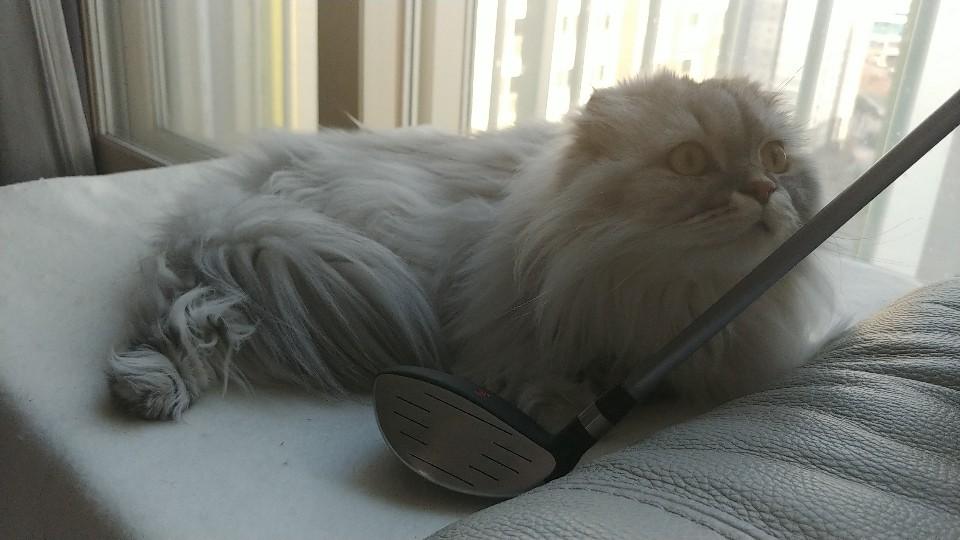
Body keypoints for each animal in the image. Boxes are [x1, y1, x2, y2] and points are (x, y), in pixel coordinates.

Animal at [107, 72, 833, 432]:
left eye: (775, 156)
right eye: (689, 161)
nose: (764, 189)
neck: (684, 300)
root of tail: (243, 181)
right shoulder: (505, 317)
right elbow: (540, 375)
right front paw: (558, 403)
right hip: (297, 254)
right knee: (179, 323)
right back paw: (148, 392)